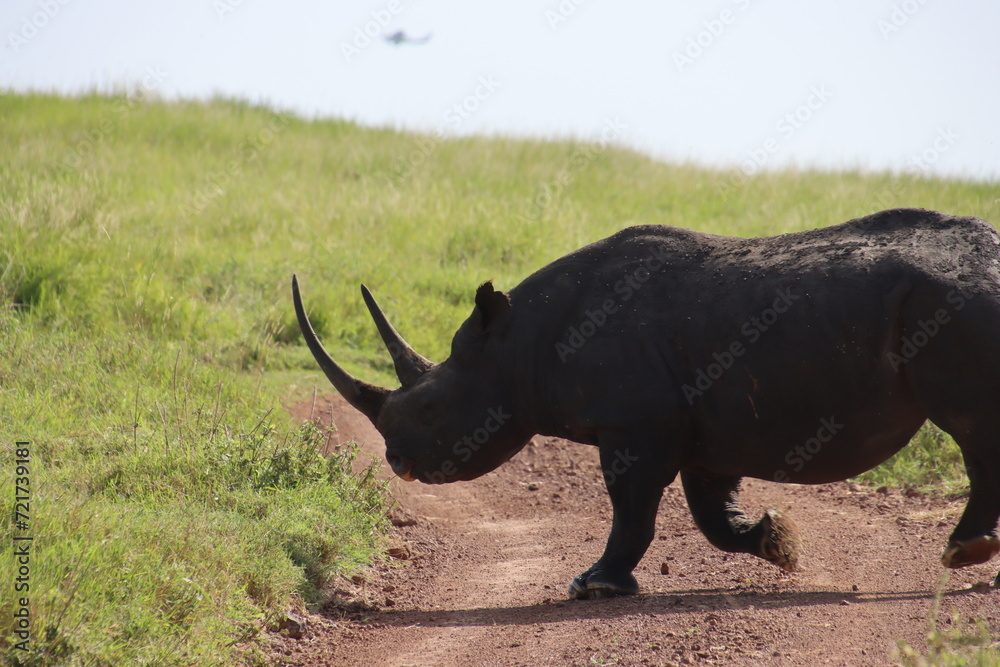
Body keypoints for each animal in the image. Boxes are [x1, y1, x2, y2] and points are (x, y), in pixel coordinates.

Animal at [292, 207, 1000, 599]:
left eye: (433, 411)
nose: (396, 461)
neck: (517, 345)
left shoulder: (636, 426)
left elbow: (631, 507)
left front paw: (594, 586)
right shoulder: (701, 425)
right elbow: (711, 514)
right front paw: (776, 540)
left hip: (955, 303)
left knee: (972, 428)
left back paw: (963, 554)